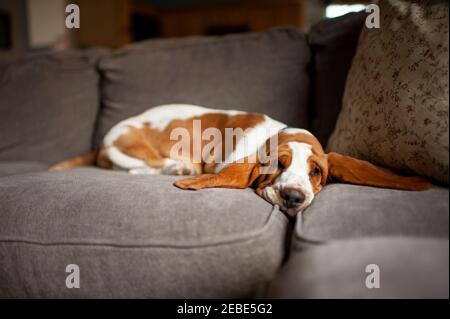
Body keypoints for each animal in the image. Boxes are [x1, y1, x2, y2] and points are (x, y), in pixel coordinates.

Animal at [49, 105, 432, 218]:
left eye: (316, 172)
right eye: (277, 165)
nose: (293, 198)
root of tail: (106, 138)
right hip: (130, 149)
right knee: (140, 167)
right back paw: (177, 167)